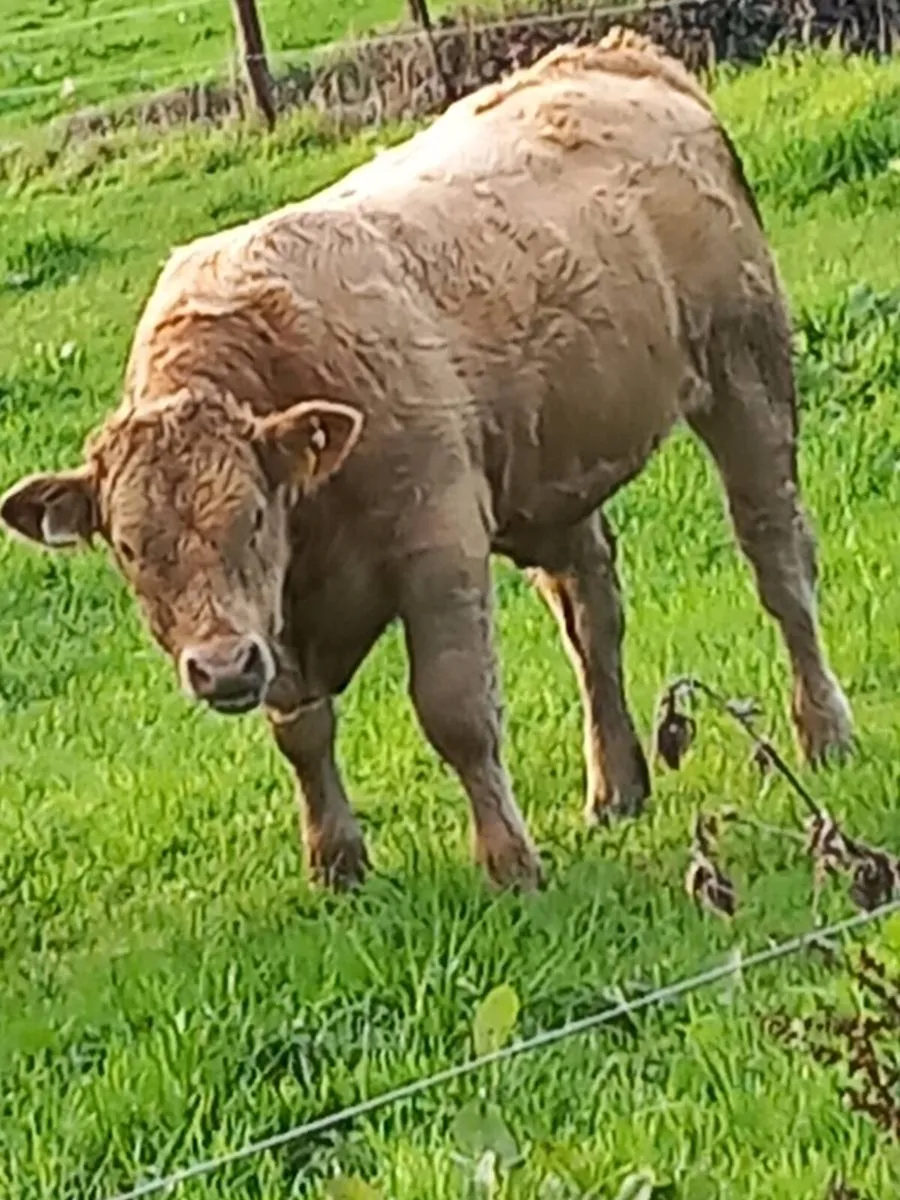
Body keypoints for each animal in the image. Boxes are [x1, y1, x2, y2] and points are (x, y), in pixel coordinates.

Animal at [0, 29, 853, 893]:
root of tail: (614, 52)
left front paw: (509, 863)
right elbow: (301, 731)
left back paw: (824, 732)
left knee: (779, 562)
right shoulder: (277, 627)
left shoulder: (439, 545)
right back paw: (616, 785)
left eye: (252, 518)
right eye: (130, 547)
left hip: (746, 376)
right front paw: (336, 864)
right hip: (554, 474)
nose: (221, 666)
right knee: (592, 616)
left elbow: (455, 710)